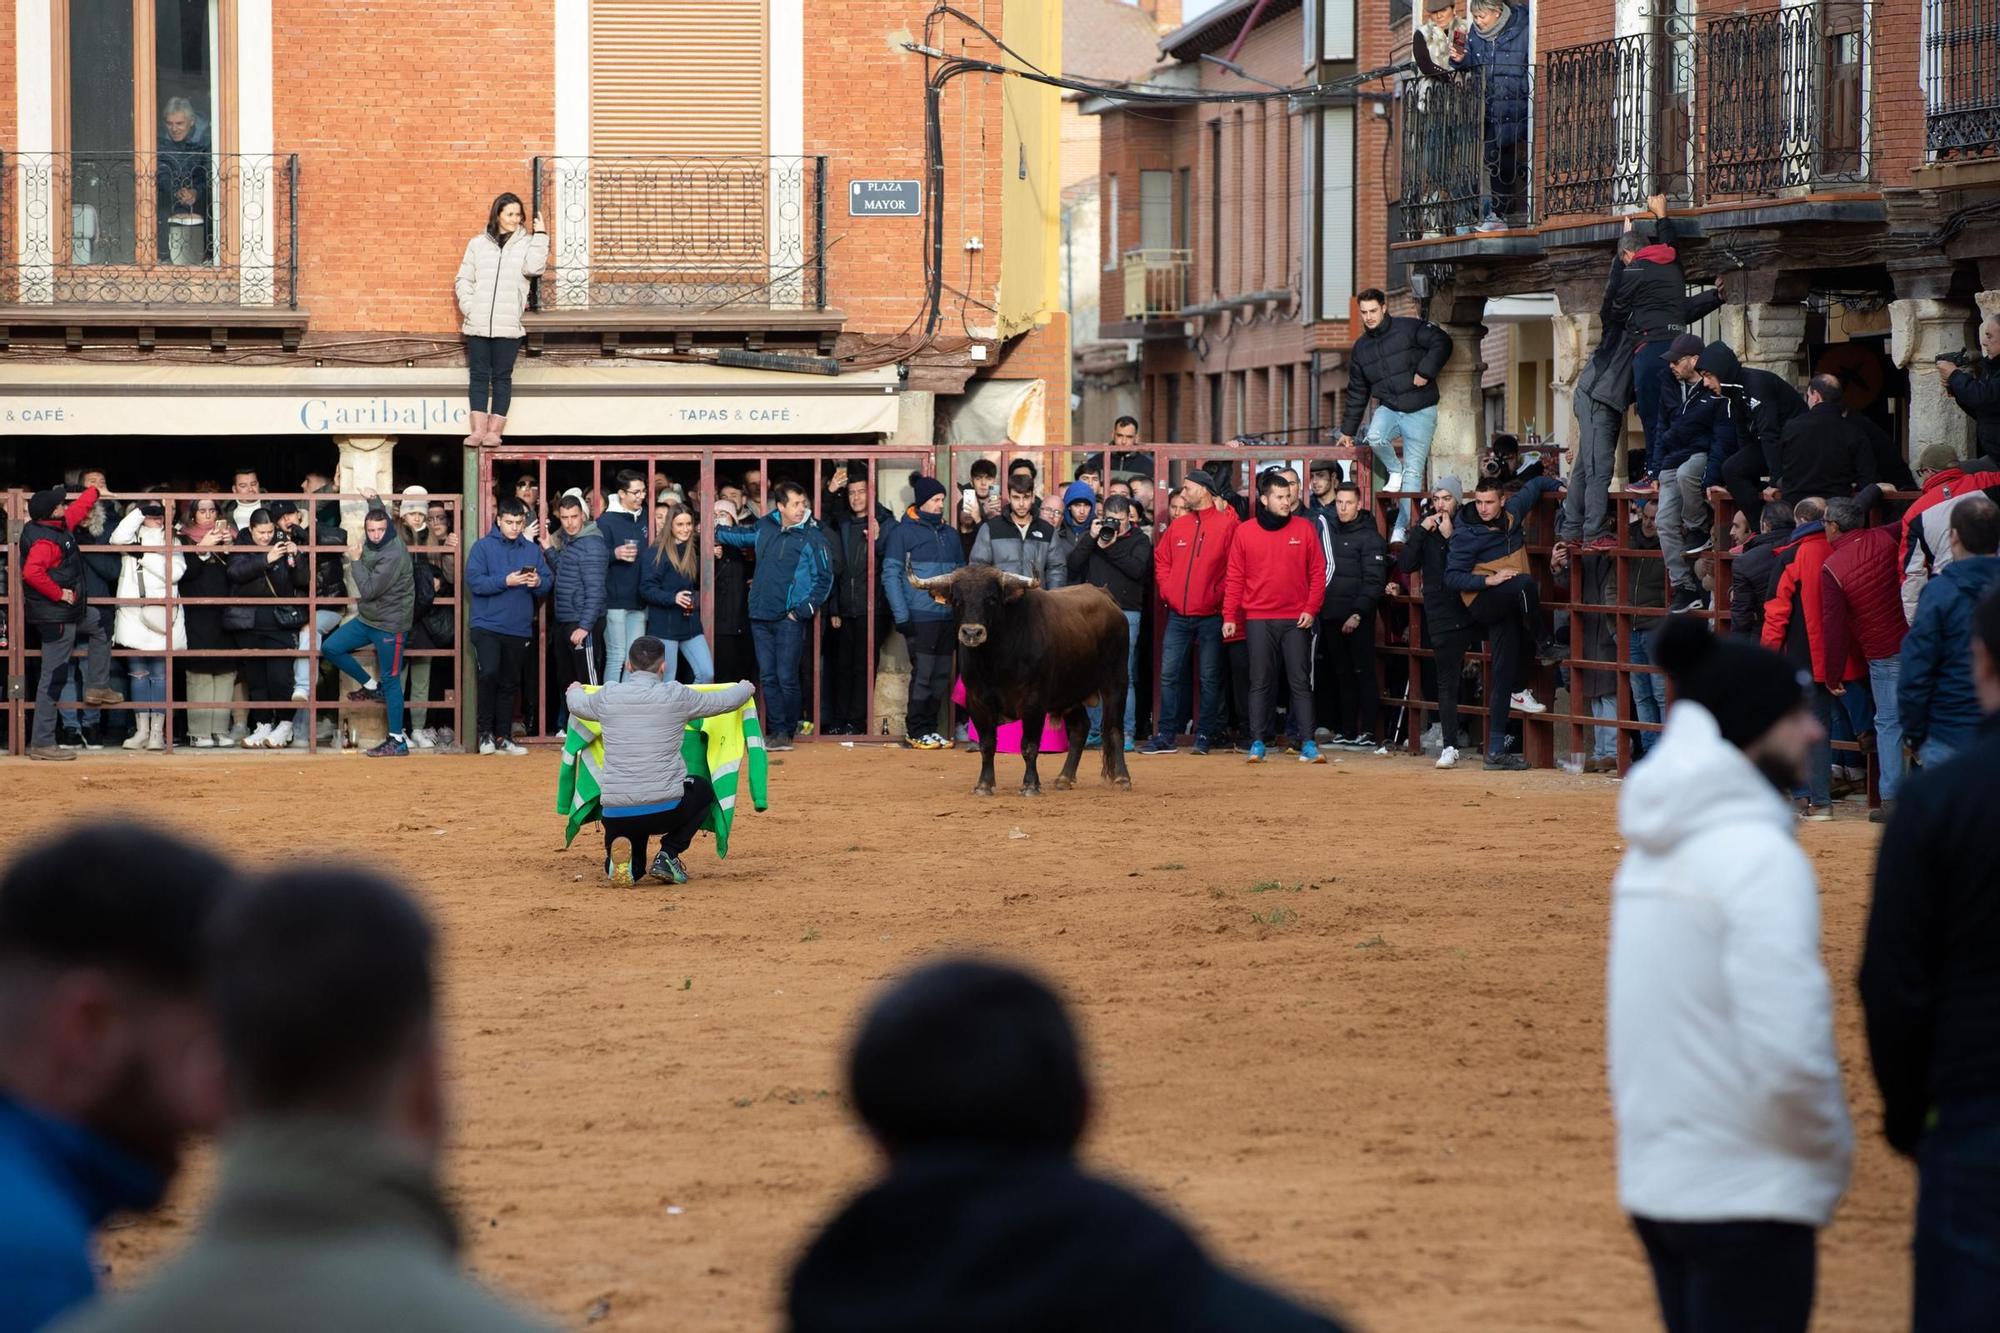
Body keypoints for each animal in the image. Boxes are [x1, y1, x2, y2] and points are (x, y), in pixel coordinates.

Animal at [912, 564, 1136, 792]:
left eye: (991, 598)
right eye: (957, 599)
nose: (972, 633)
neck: (995, 660)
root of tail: (1105, 597)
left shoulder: (1033, 702)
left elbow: (1029, 745)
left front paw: (1030, 785)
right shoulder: (977, 702)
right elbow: (987, 744)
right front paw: (984, 785)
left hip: (1116, 682)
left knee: (1114, 728)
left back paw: (1122, 778)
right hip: (1070, 693)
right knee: (1079, 729)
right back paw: (1064, 778)